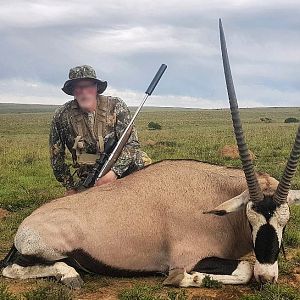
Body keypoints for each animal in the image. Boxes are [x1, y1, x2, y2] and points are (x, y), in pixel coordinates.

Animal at [0, 19, 300, 288]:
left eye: (285, 222)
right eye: (251, 219)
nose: (267, 277)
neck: (215, 198)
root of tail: (25, 226)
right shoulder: (188, 257)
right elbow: (243, 269)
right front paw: (182, 279)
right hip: (44, 252)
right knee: (13, 268)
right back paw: (70, 276)